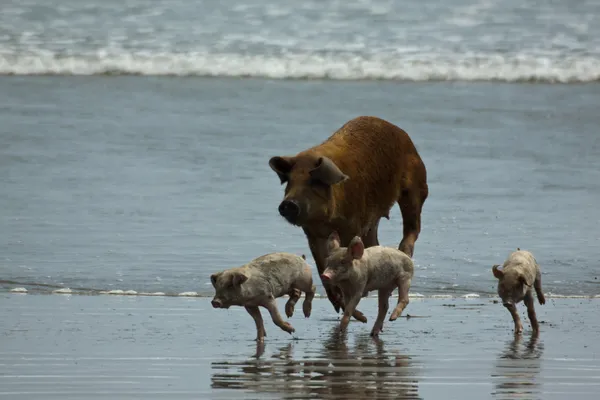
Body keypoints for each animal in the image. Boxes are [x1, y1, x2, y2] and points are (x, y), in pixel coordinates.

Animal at [268, 115, 426, 318]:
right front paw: (344, 308)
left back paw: (403, 252)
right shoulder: (312, 233)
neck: (326, 220)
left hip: (415, 188)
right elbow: (321, 266)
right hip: (373, 220)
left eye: (314, 181)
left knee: (413, 227)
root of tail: (402, 134)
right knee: (375, 241)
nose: (288, 203)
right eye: (290, 181)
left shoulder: (352, 225)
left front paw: (358, 313)